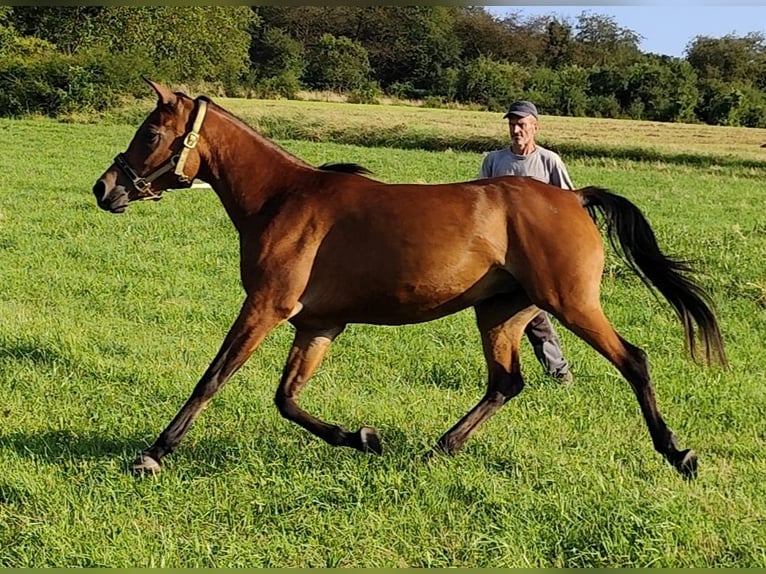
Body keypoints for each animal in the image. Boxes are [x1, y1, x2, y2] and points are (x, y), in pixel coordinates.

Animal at [90, 79, 728, 480]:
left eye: (150, 134)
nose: (104, 188)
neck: (282, 198)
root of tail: (573, 197)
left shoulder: (267, 306)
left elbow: (213, 378)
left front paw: (154, 453)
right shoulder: (319, 324)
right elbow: (287, 398)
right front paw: (363, 438)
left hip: (569, 302)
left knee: (634, 360)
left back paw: (678, 453)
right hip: (501, 312)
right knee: (505, 383)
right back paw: (439, 449)